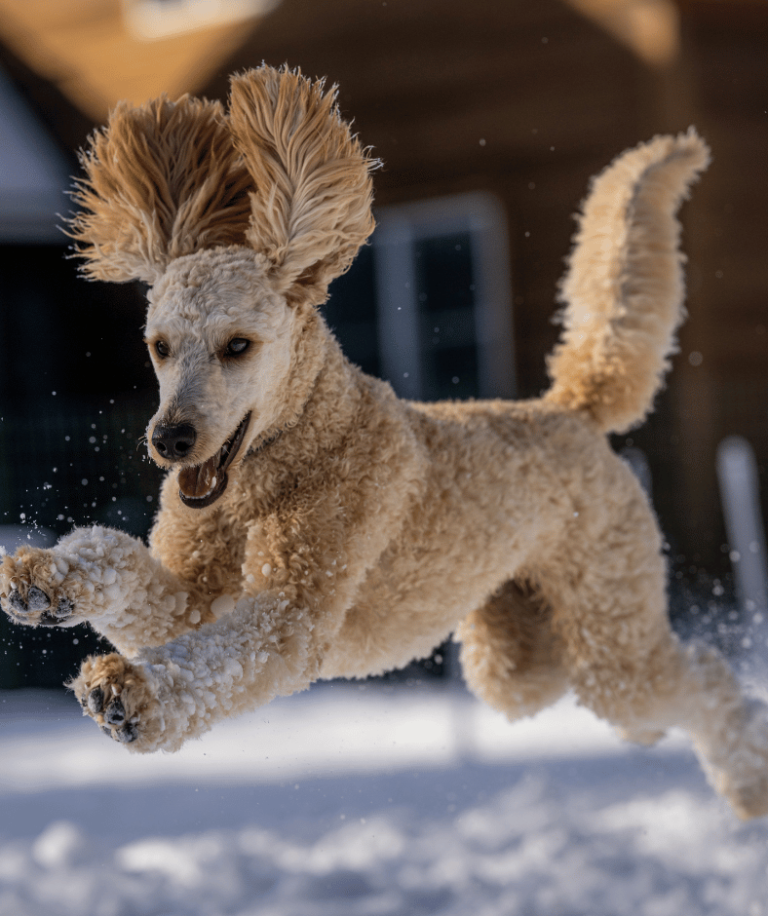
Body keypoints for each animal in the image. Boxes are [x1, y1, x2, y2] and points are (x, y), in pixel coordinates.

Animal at [1, 68, 768, 820]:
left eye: (237, 346)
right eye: (159, 346)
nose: (170, 439)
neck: (277, 466)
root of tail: (570, 408)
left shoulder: (291, 614)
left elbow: (215, 660)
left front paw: (132, 694)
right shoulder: (194, 596)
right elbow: (114, 557)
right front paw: (44, 580)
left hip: (608, 632)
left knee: (699, 675)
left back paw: (747, 779)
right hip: (519, 659)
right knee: (604, 696)